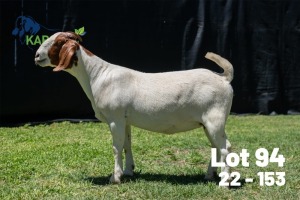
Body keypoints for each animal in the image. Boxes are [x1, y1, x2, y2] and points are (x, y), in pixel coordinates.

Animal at [35, 32, 234, 185]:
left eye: (58, 42)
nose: (37, 55)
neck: (97, 75)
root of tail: (223, 78)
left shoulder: (115, 119)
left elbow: (116, 147)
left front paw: (115, 177)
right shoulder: (125, 120)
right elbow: (126, 145)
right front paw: (128, 171)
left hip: (215, 118)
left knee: (226, 147)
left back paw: (225, 182)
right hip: (206, 122)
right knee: (215, 147)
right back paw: (209, 175)